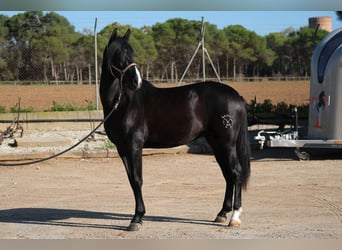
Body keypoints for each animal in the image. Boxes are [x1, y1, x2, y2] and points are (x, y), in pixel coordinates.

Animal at [100, 28, 250, 231]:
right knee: (228, 175)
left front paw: (137, 218)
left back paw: (234, 217)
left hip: (227, 144)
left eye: (130, 52)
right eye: (118, 53)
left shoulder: (134, 147)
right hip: (217, 144)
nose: (136, 81)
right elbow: (132, 181)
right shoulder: (122, 149)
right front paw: (137, 216)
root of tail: (237, 96)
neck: (122, 104)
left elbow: (138, 179)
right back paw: (221, 214)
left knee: (236, 173)